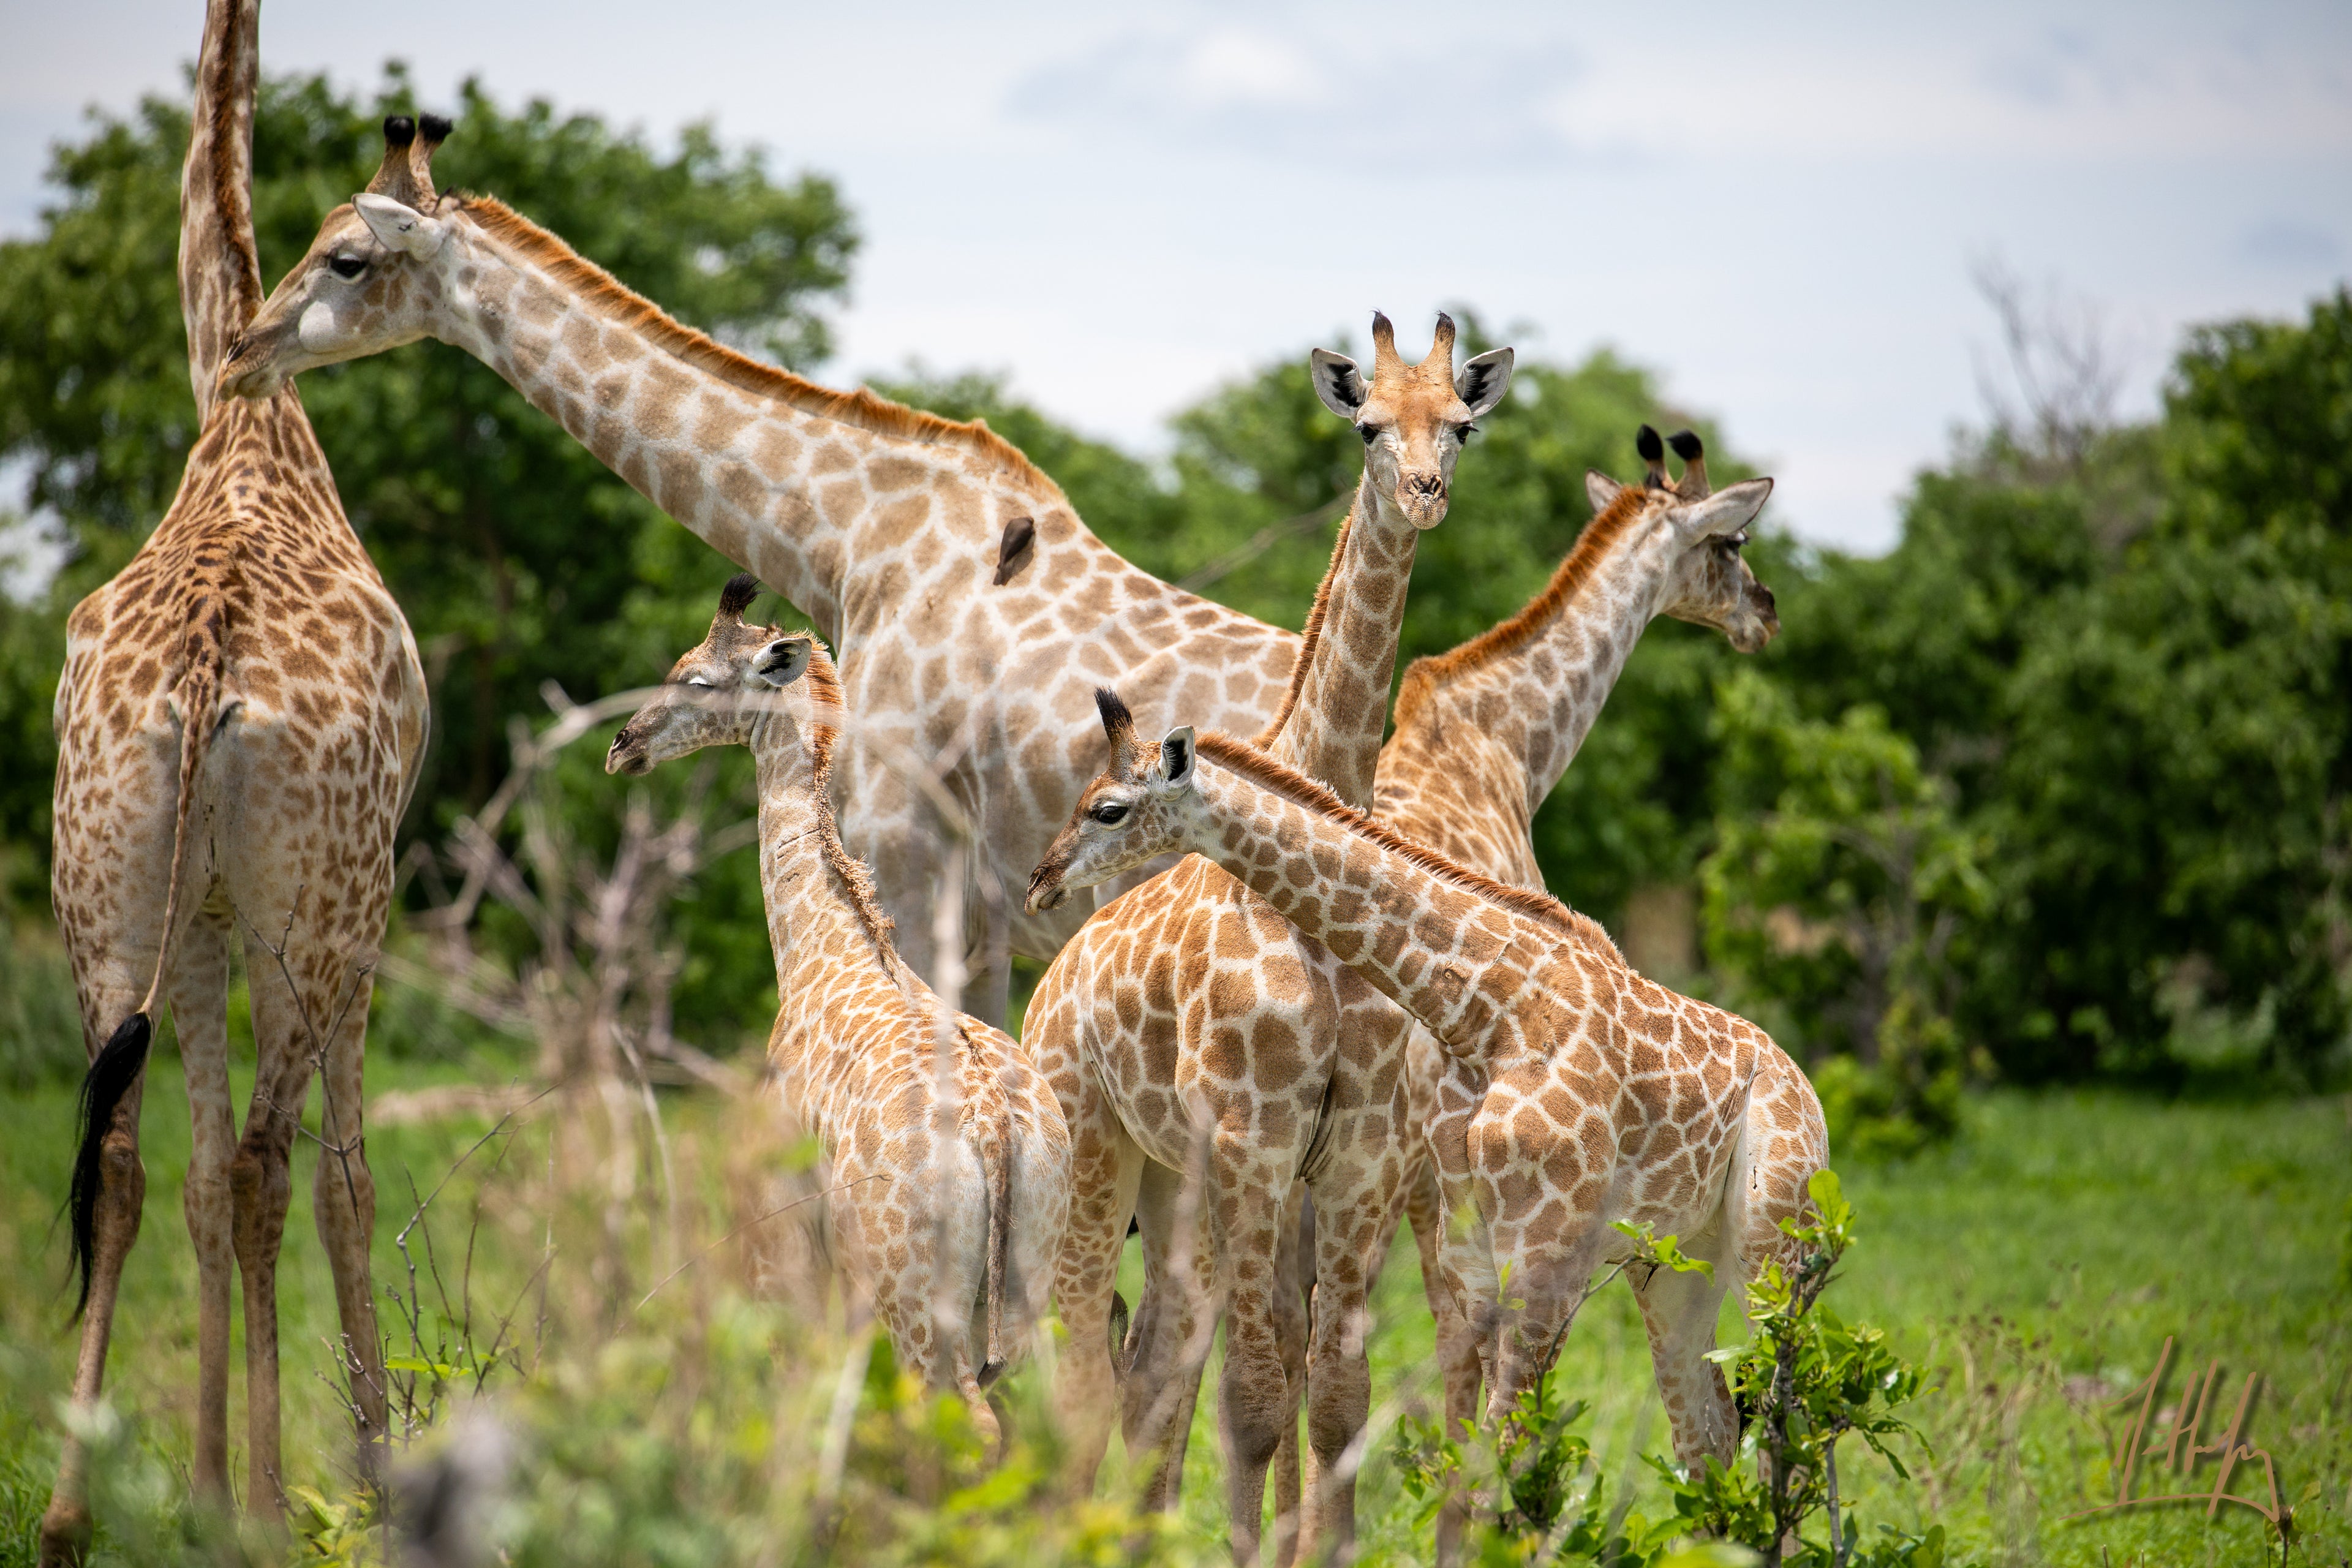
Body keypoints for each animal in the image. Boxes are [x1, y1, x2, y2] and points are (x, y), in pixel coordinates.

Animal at [605, 576, 1071, 1452]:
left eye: (696, 679)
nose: (623, 746)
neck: (817, 948)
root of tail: (995, 1133)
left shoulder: (782, 1247)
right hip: (1029, 1285)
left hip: (914, 1299)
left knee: (957, 1422)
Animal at [1019, 315, 1511, 1563]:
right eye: (1368, 425)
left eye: (1463, 424)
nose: (1426, 494)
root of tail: (1047, 994)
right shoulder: (1254, 1137)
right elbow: (1251, 1401)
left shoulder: (1360, 1153)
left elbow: (1334, 1401)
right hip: (1098, 1151)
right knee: (1085, 1364)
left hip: (1171, 1184)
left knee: (1150, 1366)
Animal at [1025, 691, 1827, 1504]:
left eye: (1109, 809)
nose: (1040, 880)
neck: (1491, 1010)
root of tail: (1804, 1085)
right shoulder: (1475, 1255)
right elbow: (1488, 1465)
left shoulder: (1546, 1255)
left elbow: (1511, 1454)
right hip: (1674, 1263)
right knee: (1711, 1432)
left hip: (1772, 1238)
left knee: (1790, 1413)